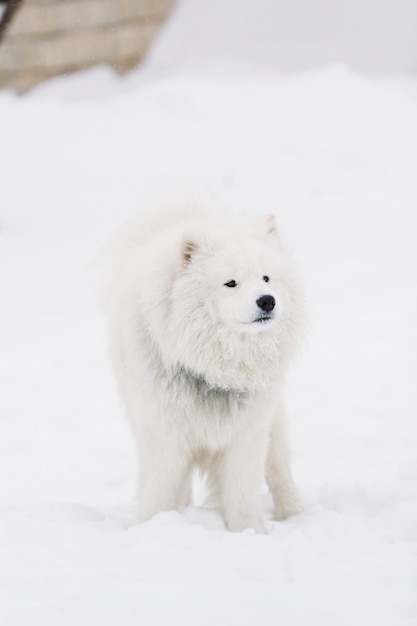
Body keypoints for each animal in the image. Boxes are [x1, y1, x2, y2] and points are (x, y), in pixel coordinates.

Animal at [100, 207, 302, 528]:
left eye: (266, 278)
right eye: (231, 283)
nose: (267, 301)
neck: (214, 371)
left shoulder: (244, 439)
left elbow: (242, 497)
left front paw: (248, 531)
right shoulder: (164, 438)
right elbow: (158, 494)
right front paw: (154, 526)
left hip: (272, 425)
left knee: (279, 471)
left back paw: (295, 514)